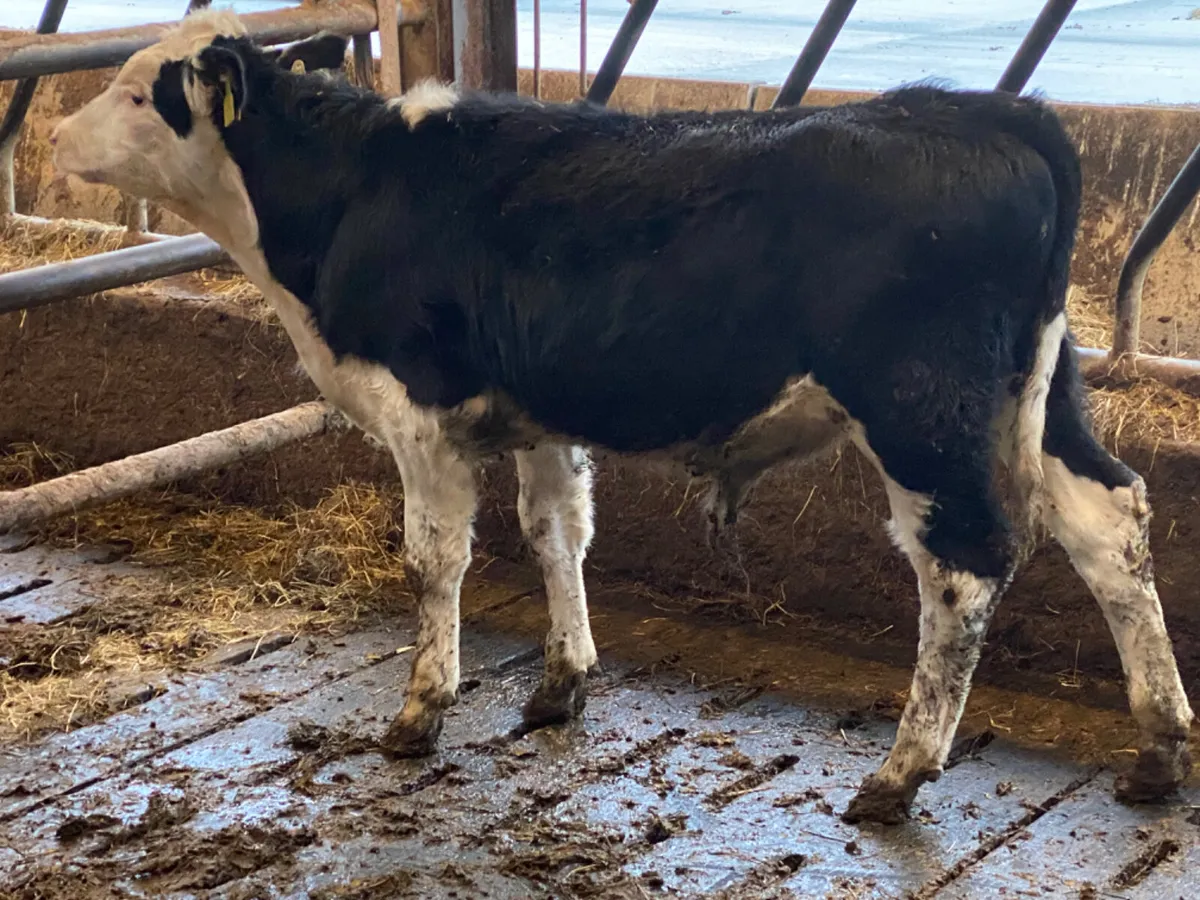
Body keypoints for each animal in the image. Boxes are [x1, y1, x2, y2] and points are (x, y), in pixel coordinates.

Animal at [51, 8, 1195, 825]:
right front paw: (563, 682)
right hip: (1043, 395)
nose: (57, 128)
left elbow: (434, 560)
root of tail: (984, 112)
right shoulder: (537, 411)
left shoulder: (420, 410)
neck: (347, 193)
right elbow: (558, 533)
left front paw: (423, 708)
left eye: (136, 89)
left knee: (961, 569)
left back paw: (901, 772)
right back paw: (1159, 746)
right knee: (1110, 521)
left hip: (920, 406)